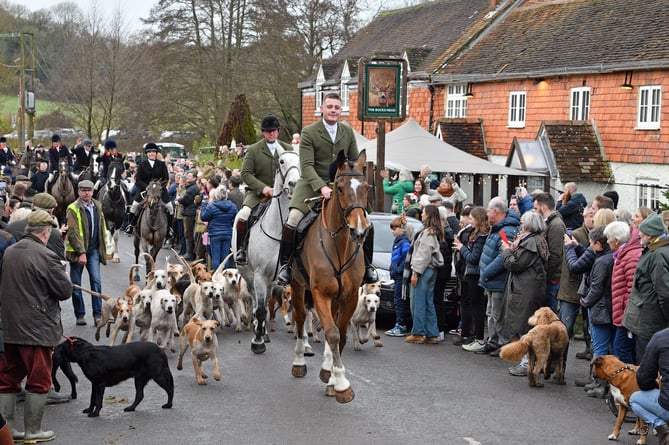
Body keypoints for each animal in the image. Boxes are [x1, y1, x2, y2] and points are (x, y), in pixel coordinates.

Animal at [288, 149, 370, 402]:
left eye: (367, 187)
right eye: (340, 188)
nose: (359, 231)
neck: (340, 245)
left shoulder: (351, 296)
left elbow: (340, 334)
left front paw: (333, 377)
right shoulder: (319, 293)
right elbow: (333, 334)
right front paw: (342, 384)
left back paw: (326, 368)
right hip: (297, 286)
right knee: (300, 319)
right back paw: (299, 362)